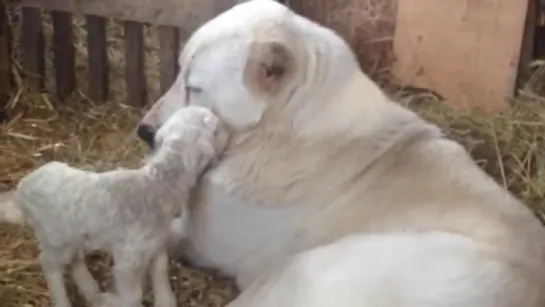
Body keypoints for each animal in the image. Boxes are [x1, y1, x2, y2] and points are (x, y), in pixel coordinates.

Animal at [14, 106, 227, 307]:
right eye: (216, 129)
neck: (154, 188)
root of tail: (23, 185)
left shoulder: (155, 243)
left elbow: (160, 270)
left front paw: (165, 301)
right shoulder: (128, 260)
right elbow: (132, 296)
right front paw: (111, 301)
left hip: (73, 235)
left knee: (74, 257)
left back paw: (90, 288)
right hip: (52, 237)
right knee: (49, 264)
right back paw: (63, 300)